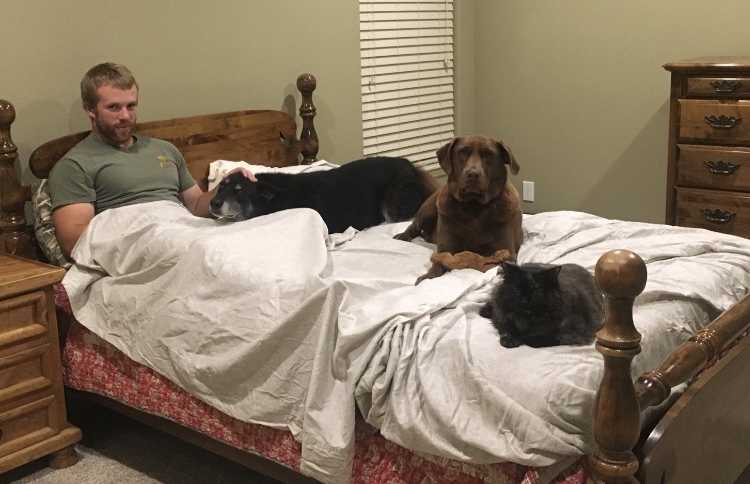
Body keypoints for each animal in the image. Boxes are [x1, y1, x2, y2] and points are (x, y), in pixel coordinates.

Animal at [394, 135, 524, 284]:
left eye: (488, 154)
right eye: (462, 152)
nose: (472, 174)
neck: (474, 207)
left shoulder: (507, 252)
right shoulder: (446, 248)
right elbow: (438, 265)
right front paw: (427, 277)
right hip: (429, 209)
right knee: (414, 225)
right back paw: (403, 236)